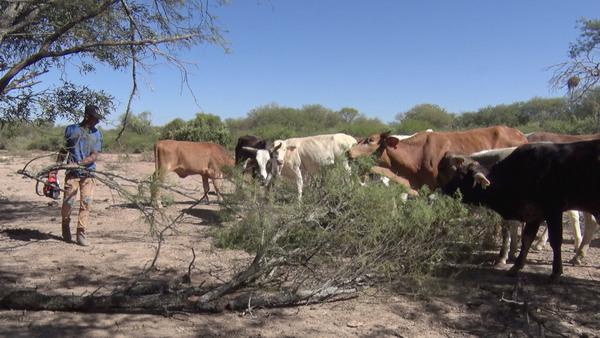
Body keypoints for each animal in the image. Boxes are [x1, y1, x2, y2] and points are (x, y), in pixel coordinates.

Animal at [436, 140, 600, 280]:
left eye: (461, 175)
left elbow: (555, 241)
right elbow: (526, 238)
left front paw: (555, 271)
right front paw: (515, 265)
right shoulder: (534, 213)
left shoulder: (552, 210)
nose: (444, 189)